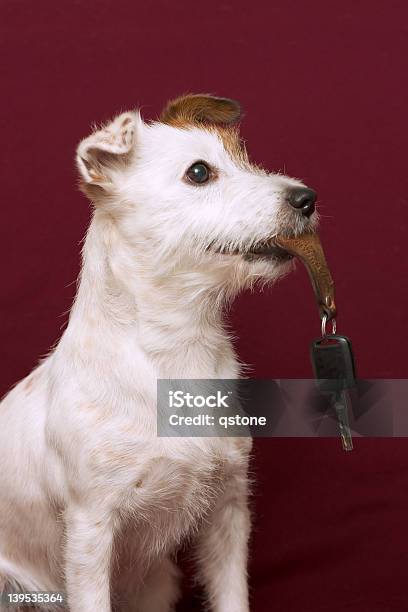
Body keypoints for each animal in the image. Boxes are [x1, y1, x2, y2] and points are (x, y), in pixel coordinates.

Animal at [0, 93, 318, 608]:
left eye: (245, 157)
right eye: (199, 173)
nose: (307, 199)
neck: (178, 347)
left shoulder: (228, 510)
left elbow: (232, 594)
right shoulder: (90, 533)